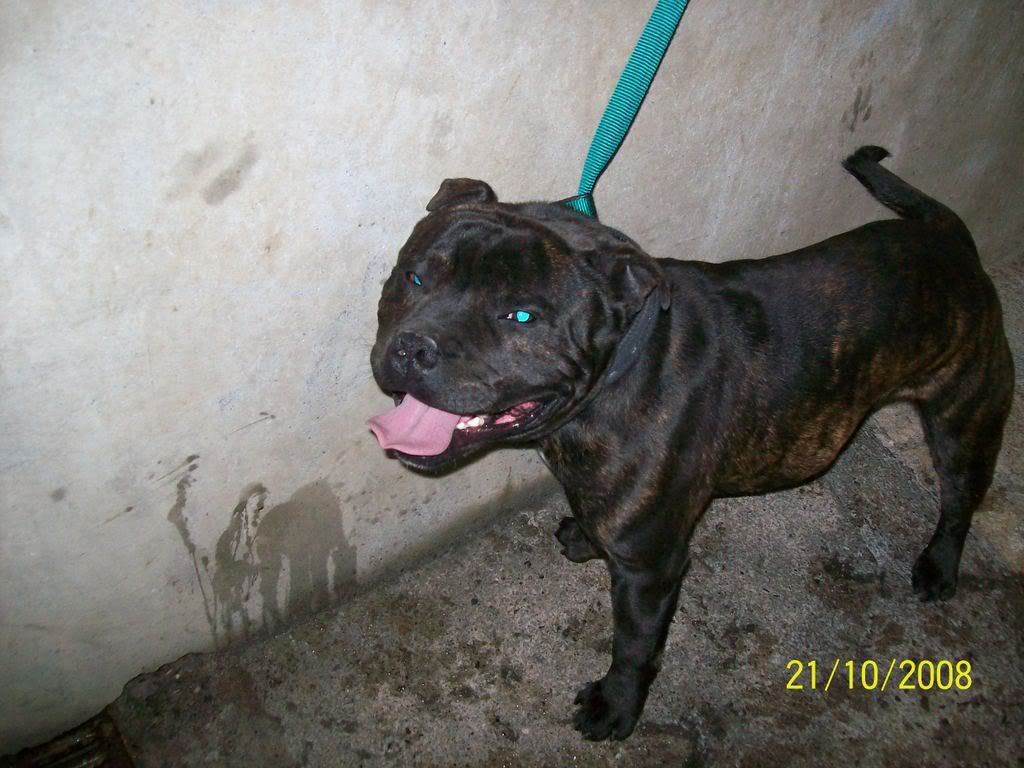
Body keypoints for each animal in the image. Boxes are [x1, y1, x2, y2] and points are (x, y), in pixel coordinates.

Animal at [364, 147, 1011, 741]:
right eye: (415, 276)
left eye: (520, 316)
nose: (413, 347)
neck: (618, 373)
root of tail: (947, 235)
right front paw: (585, 535)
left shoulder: (650, 572)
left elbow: (633, 648)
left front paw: (616, 708)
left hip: (964, 421)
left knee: (959, 502)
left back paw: (939, 566)